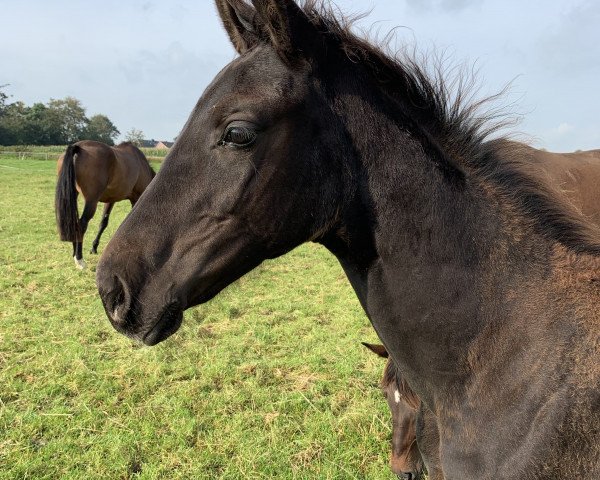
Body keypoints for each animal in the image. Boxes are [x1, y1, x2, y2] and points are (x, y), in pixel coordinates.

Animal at [55, 140, 155, 270]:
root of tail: (78, 147)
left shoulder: (110, 200)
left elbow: (103, 223)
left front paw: (94, 247)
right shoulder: (136, 198)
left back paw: (74, 253)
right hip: (91, 201)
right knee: (82, 224)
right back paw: (79, 259)